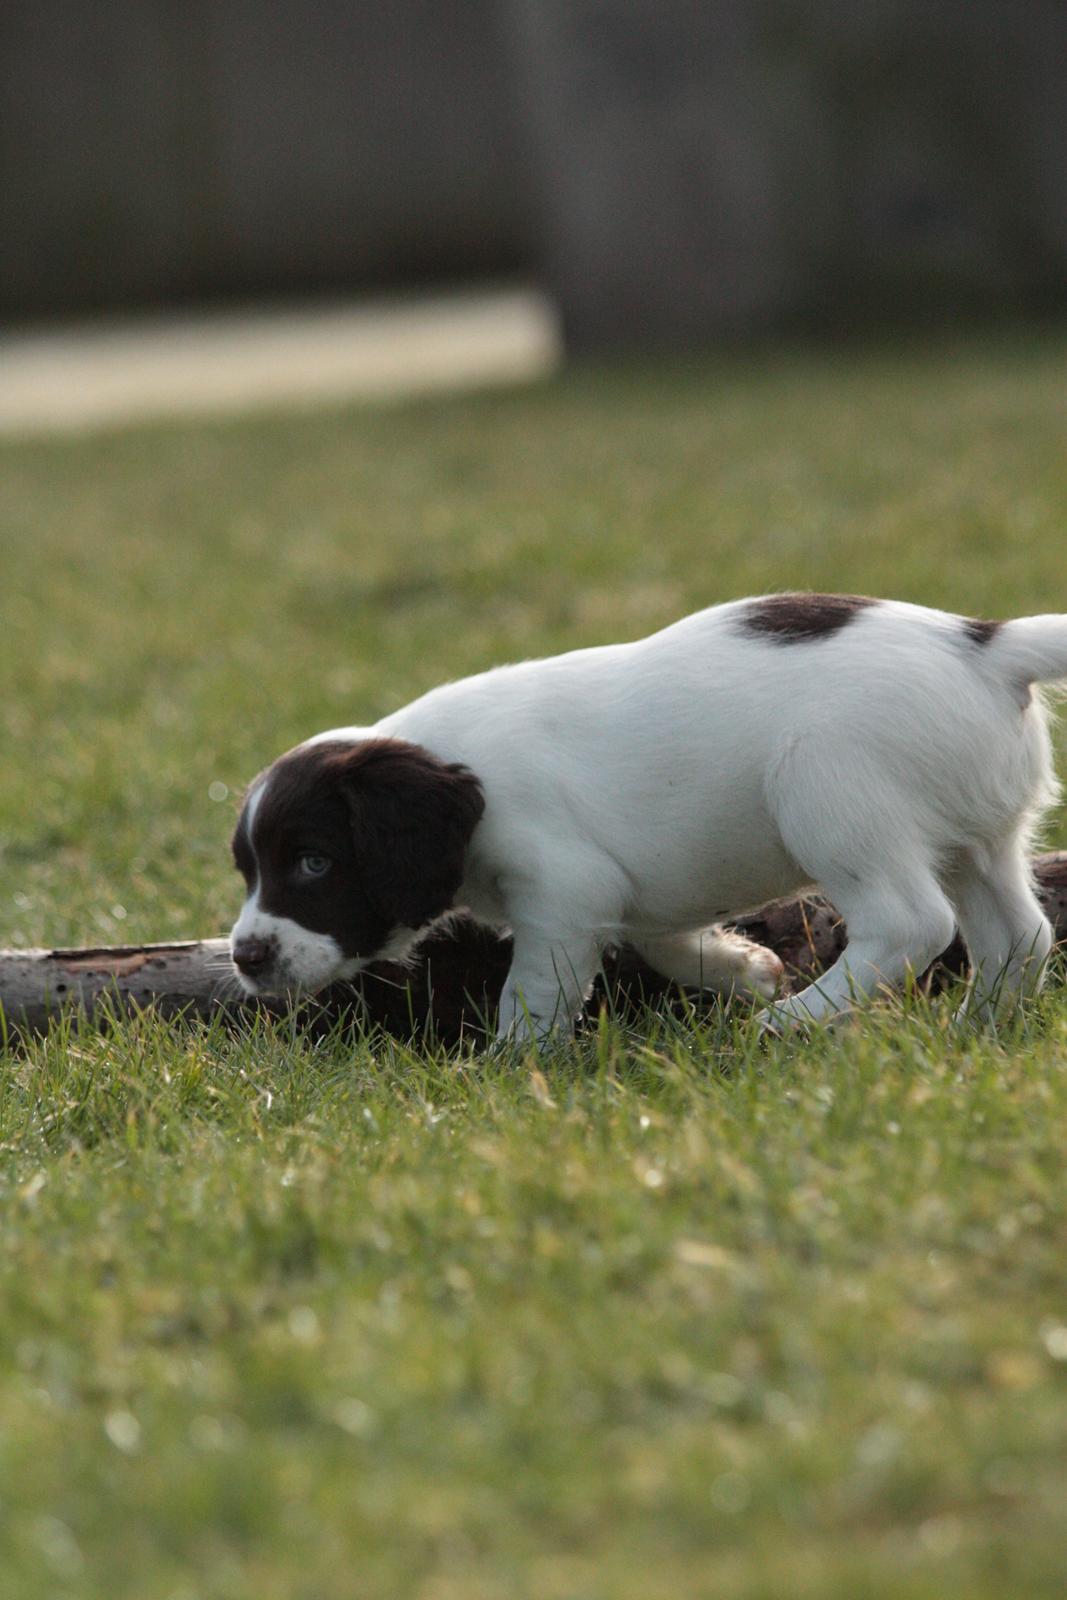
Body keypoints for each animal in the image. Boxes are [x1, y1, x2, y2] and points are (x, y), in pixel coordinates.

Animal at [227, 598, 1067, 1036]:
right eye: (249, 871)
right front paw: (742, 967)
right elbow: (663, 942)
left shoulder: (563, 893)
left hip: (828, 791)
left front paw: (511, 1070)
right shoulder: (628, 893)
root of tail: (985, 646)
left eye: (312, 862)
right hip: (978, 842)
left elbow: (531, 992)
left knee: (909, 922)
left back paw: (790, 1022)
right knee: (1018, 934)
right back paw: (976, 1029)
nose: (245, 957)